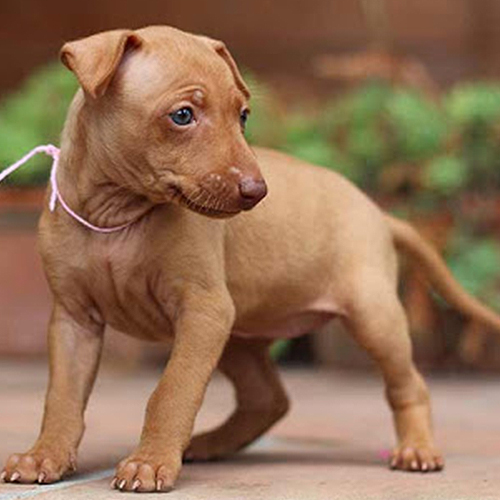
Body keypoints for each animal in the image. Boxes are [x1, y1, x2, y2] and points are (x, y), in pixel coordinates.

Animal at [2, 25, 500, 490]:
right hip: (239, 336)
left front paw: (151, 462)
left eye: (242, 116)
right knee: (268, 399)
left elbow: (173, 390)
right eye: (182, 115)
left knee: (407, 383)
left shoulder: (203, 312)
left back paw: (418, 449)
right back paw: (209, 444)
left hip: (372, 315)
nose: (257, 191)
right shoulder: (74, 320)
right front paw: (45, 456)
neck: (117, 216)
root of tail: (378, 212)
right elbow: (62, 397)